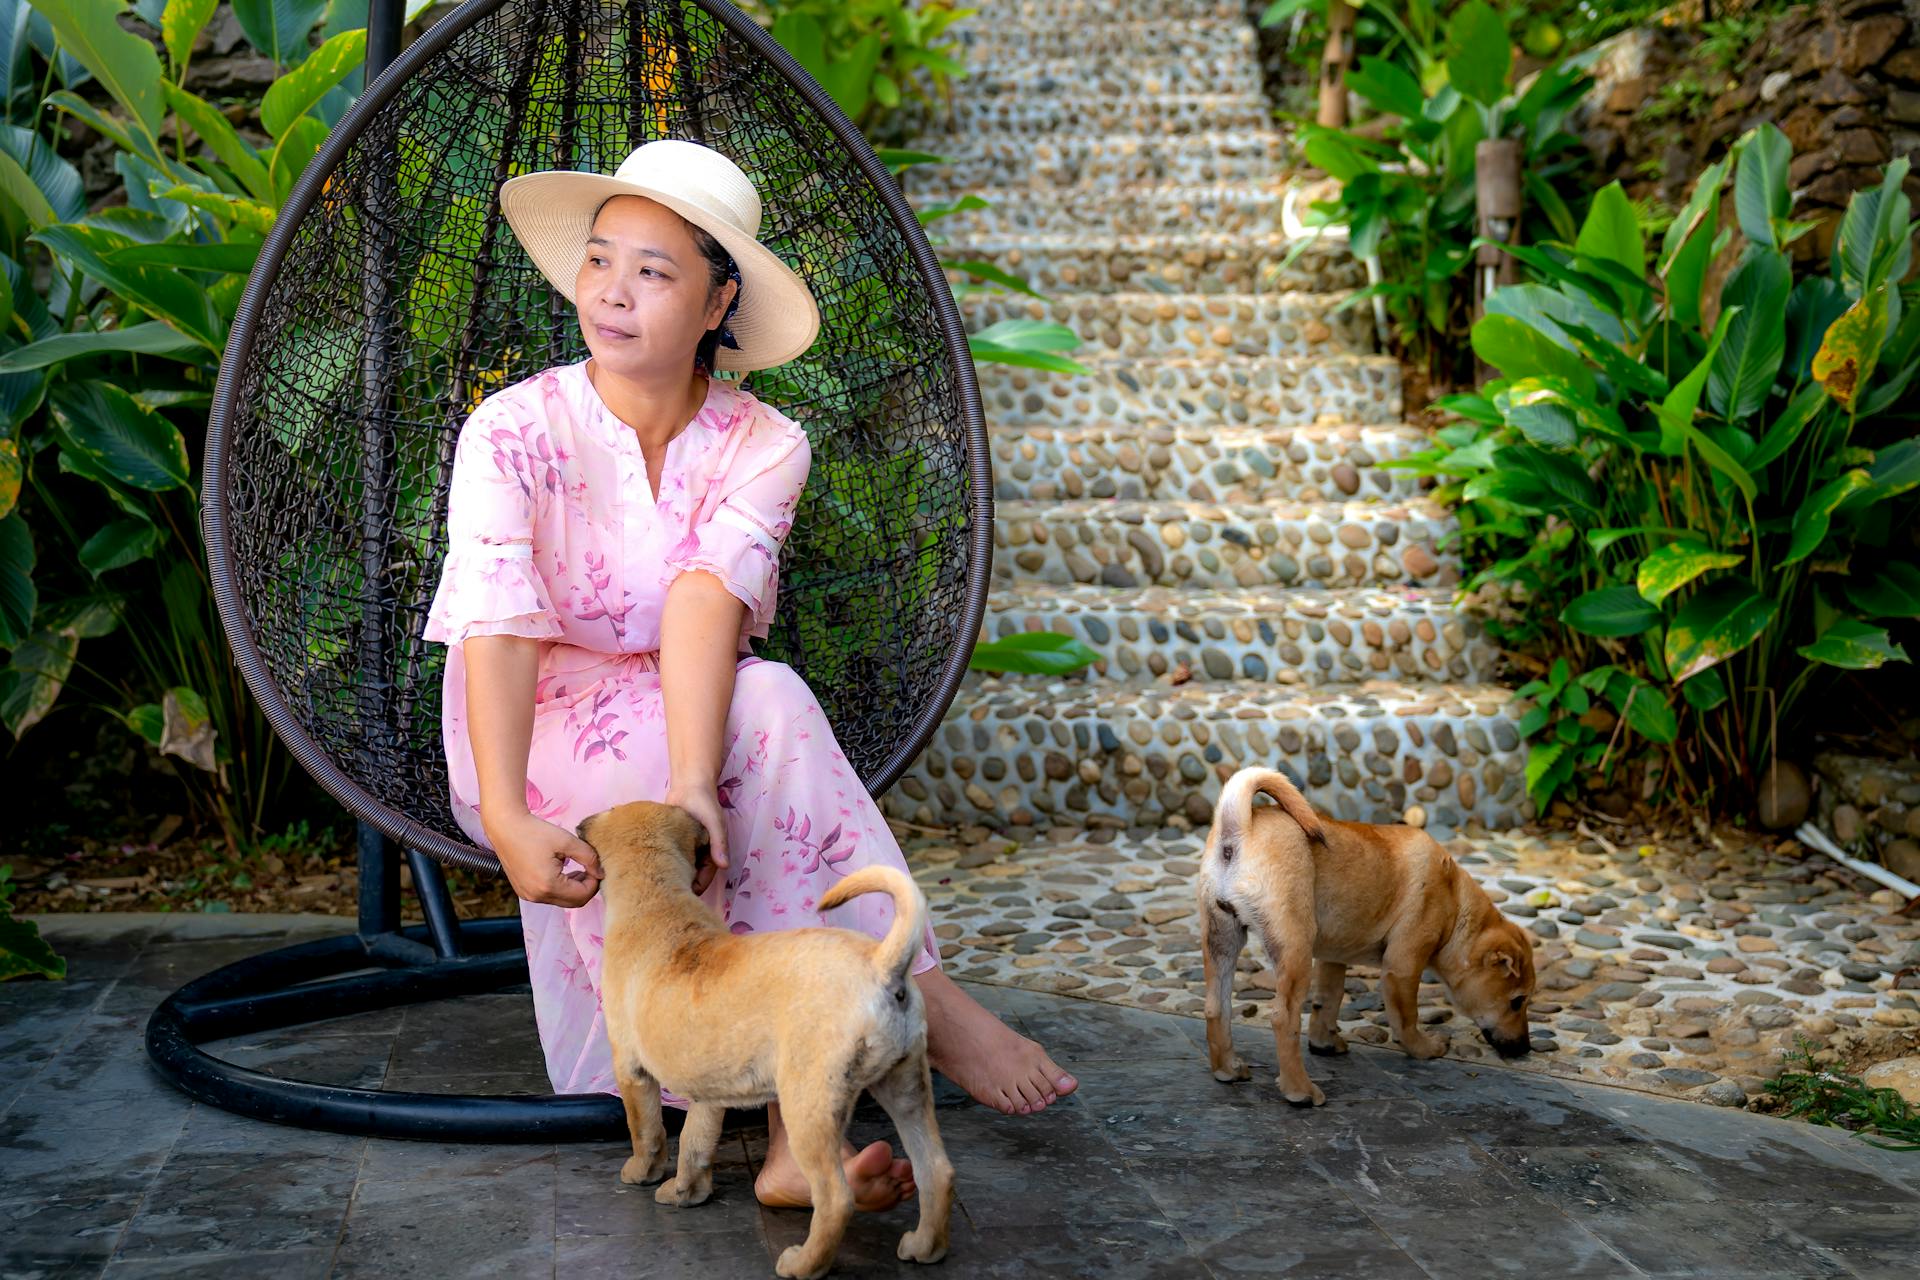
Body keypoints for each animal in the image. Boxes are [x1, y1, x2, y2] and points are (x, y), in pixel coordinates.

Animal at [576, 802, 952, 1280]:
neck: (657, 894)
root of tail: (881, 963)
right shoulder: (709, 1091)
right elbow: (695, 1143)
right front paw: (686, 1192)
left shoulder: (632, 1070)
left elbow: (648, 1131)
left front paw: (642, 1173)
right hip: (906, 1086)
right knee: (935, 1170)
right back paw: (925, 1246)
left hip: (809, 1105)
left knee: (836, 1197)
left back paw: (802, 1263)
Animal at [1190, 767, 1536, 1105]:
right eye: (1517, 1001)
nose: (1525, 1049)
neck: (1455, 903)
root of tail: (1239, 828)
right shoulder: (1402, 968)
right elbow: (1406, 1019)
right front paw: (1424, 1049)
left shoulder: (1332, 959)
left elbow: (1328, 1002)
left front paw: (1325, 1043)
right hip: (1294, 950)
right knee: (1283, 1018)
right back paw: (1300, 1090)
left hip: (1222, 940)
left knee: (1216, 1007)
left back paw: (1227, 1069)